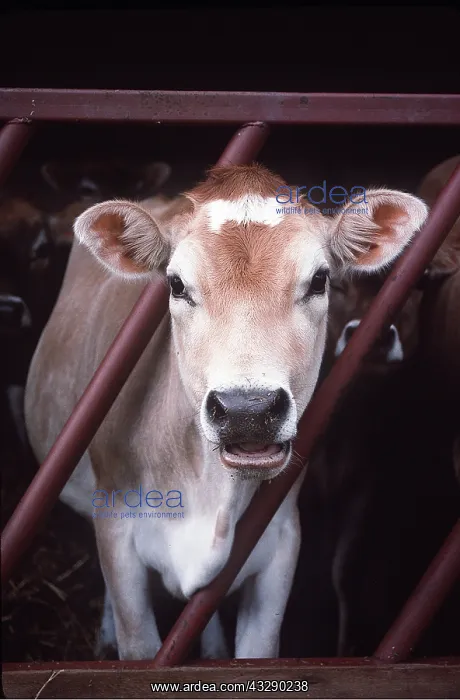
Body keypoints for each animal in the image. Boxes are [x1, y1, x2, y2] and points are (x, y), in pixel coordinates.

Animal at [24, 163, 428, 660]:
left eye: (320, 280)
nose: (247, 410)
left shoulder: (281, 544)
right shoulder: (116, 532)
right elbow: (136, 641)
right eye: (176, 284)